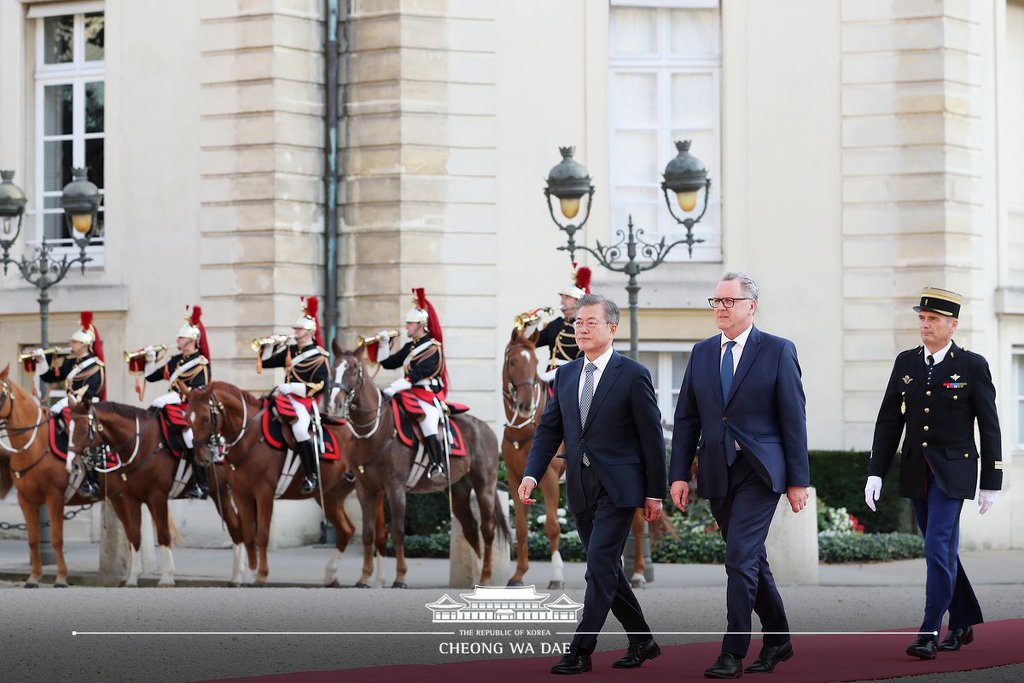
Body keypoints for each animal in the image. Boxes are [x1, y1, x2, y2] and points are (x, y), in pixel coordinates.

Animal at [68, 397, 251, 585]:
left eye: (84, 429)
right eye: (69, 428)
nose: (73, 465)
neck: (142, 444)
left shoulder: (157, 497)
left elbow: (163, 534)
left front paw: (167, 577)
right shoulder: (130, 498)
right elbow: (134, 535)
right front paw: (133, 578)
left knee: (236, 526)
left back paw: (238, 575)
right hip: (220, 493)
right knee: (236, 525)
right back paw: (237, 574)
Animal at [187, 378, 372, 589]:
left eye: (205, 418)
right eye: (187, 419)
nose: (201, 458)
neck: (249, 436)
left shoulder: (264, 493)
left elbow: (262, 534)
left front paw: (261, 575)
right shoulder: (241, 494)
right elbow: (248, 535)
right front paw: (249, 573)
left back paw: (368, 577)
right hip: (330, 496)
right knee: (347, 530)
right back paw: (331, 575)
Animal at [329, 342, 505, 589]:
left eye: (354, 369)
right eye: (333, 368)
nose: (335, 404)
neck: (375, 431)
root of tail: (485, 427)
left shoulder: (395, 490)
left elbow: (398, 532)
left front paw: (400, 577)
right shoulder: (365, 490)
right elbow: (368, 533)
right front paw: (364, 578)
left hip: (484, 487)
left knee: (487, 530)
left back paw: (486, 577)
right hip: (458, 491)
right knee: (471, 529)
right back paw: (477, 578)